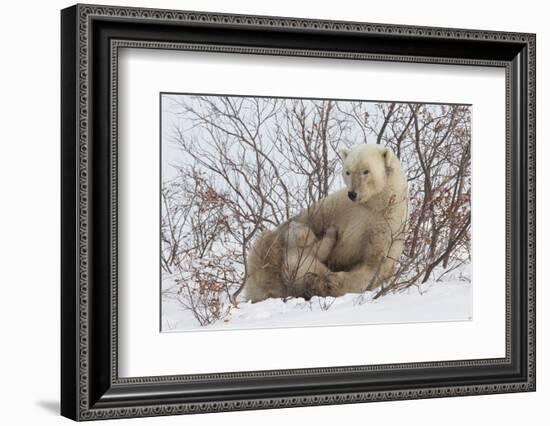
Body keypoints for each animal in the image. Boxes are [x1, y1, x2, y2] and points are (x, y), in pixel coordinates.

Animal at [246, 145, 410, 302]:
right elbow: (310, 225)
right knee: (266, 248)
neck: (374, 203)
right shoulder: (335, 207)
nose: (352, 193)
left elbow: (372, 264)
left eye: (366, 171)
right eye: (348, 172)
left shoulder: (386, 224)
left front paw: (330, 283)